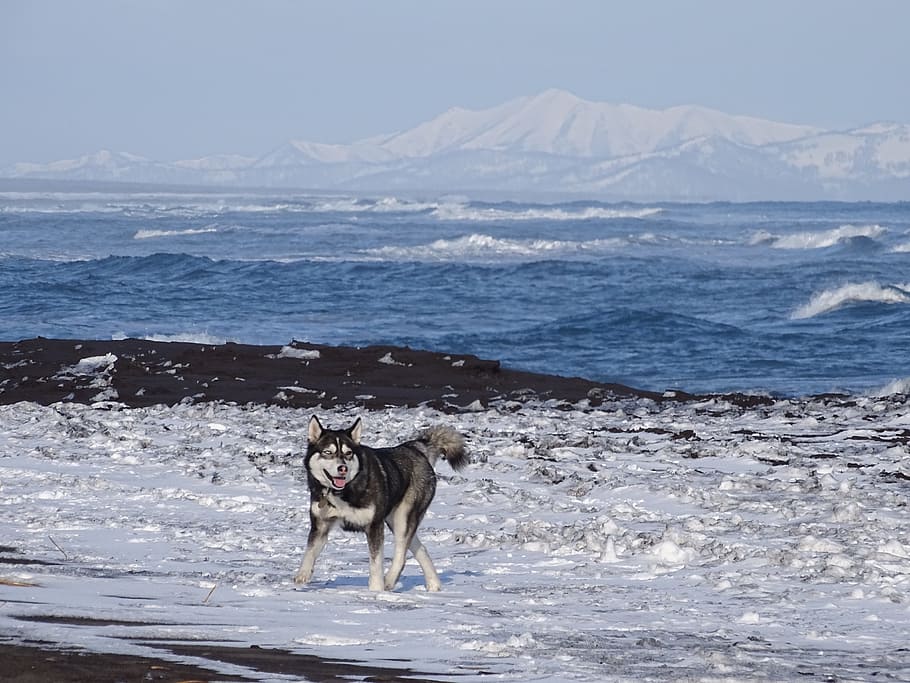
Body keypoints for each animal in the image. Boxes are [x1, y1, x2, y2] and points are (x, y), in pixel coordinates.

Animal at [298, 414, 470, 592]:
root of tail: (415, 448)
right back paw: (433, 584)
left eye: (348, 453)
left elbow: (376, 563)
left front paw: (375, 589)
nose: (342, 468)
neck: (343, 491)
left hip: (403, 518)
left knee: (401, 555)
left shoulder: (374, 525)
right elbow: (310, 551)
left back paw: (389, 581)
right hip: (394, 520)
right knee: (420, 548)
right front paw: (301, 577)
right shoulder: (320, 525)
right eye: (328, 452)